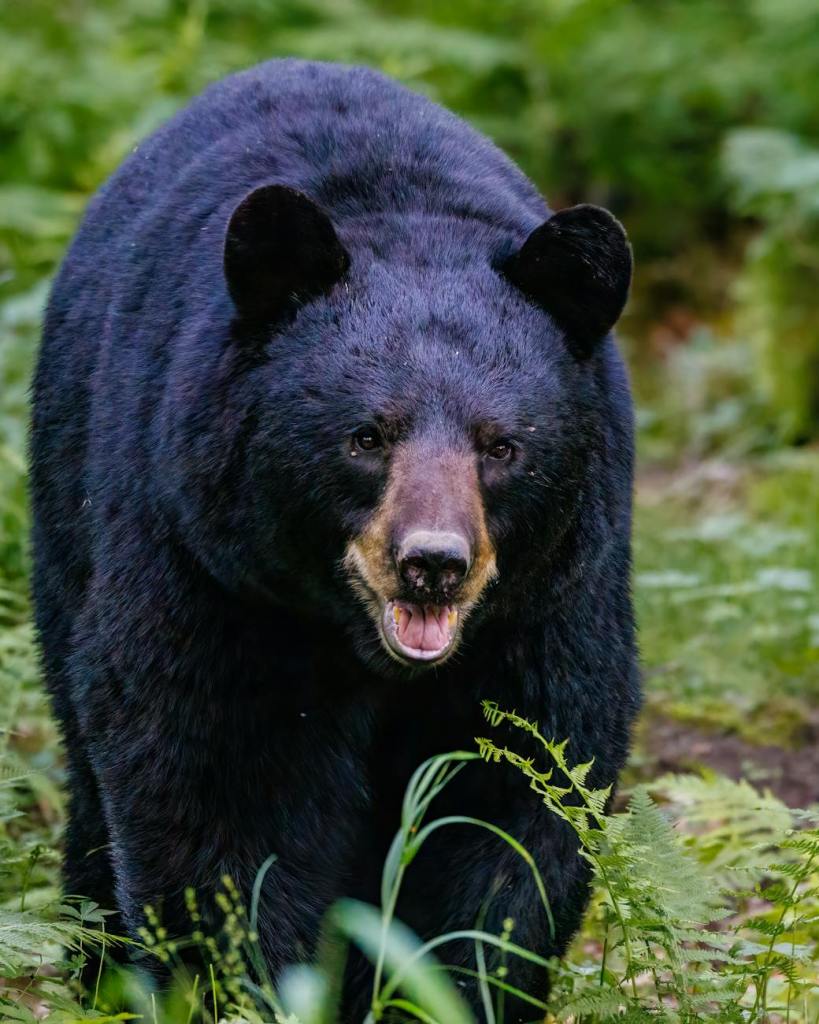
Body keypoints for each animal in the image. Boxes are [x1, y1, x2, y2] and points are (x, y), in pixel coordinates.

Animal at [30, 58, 639, 1020]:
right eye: (366, 436)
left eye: (501, 446)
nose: (431, 564)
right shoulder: (211, 570)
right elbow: (218, 789)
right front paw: (246, 985)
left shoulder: (549, 601)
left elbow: (516, 799)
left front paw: (444, 987)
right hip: (66, 509)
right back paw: (101, 968)